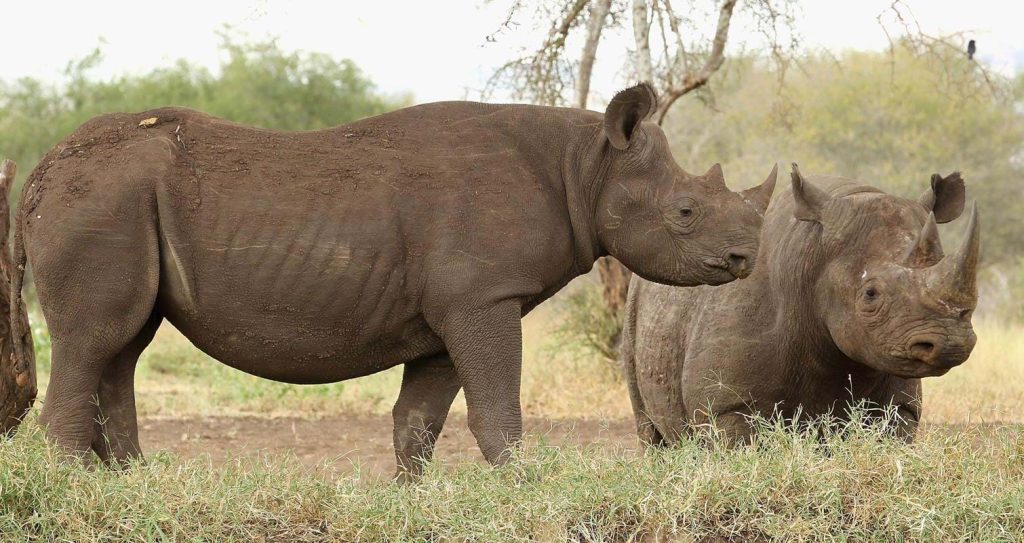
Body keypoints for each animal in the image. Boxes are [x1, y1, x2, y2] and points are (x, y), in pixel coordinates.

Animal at [11, 83, 778, 476]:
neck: (586, 167)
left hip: (114, 200)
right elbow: (496, 410)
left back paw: (133, 485)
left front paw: (413, 496)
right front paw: (521, 486)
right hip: (98, 199)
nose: (746, 258)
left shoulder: (448, 310)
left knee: (123, 345)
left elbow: (418, 421)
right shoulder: (483, 297)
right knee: (93, 339)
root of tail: (40, 172)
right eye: (685, 212)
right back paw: (78, 489)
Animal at [622, 164, 979, 444]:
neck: (813, 256)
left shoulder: (901, 405)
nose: (950, 343)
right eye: (870, 294)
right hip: (634, 303)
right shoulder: (725, 407)